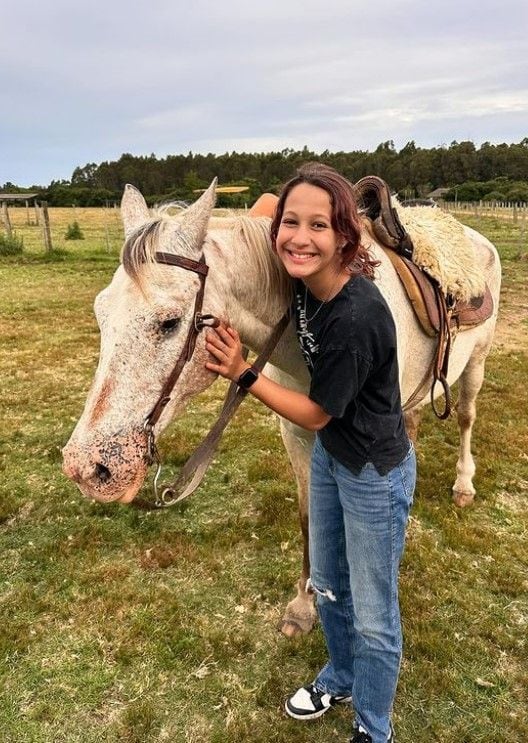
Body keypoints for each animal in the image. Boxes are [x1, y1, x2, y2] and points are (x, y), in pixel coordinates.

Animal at [63, 182, 504, 640]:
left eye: (169, 322)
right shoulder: (297, 433)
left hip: (476, 365)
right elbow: (310, 516)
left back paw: (463, 486)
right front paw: (305, 606)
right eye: (100, 314)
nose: (88, 469)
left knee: (466, 418)